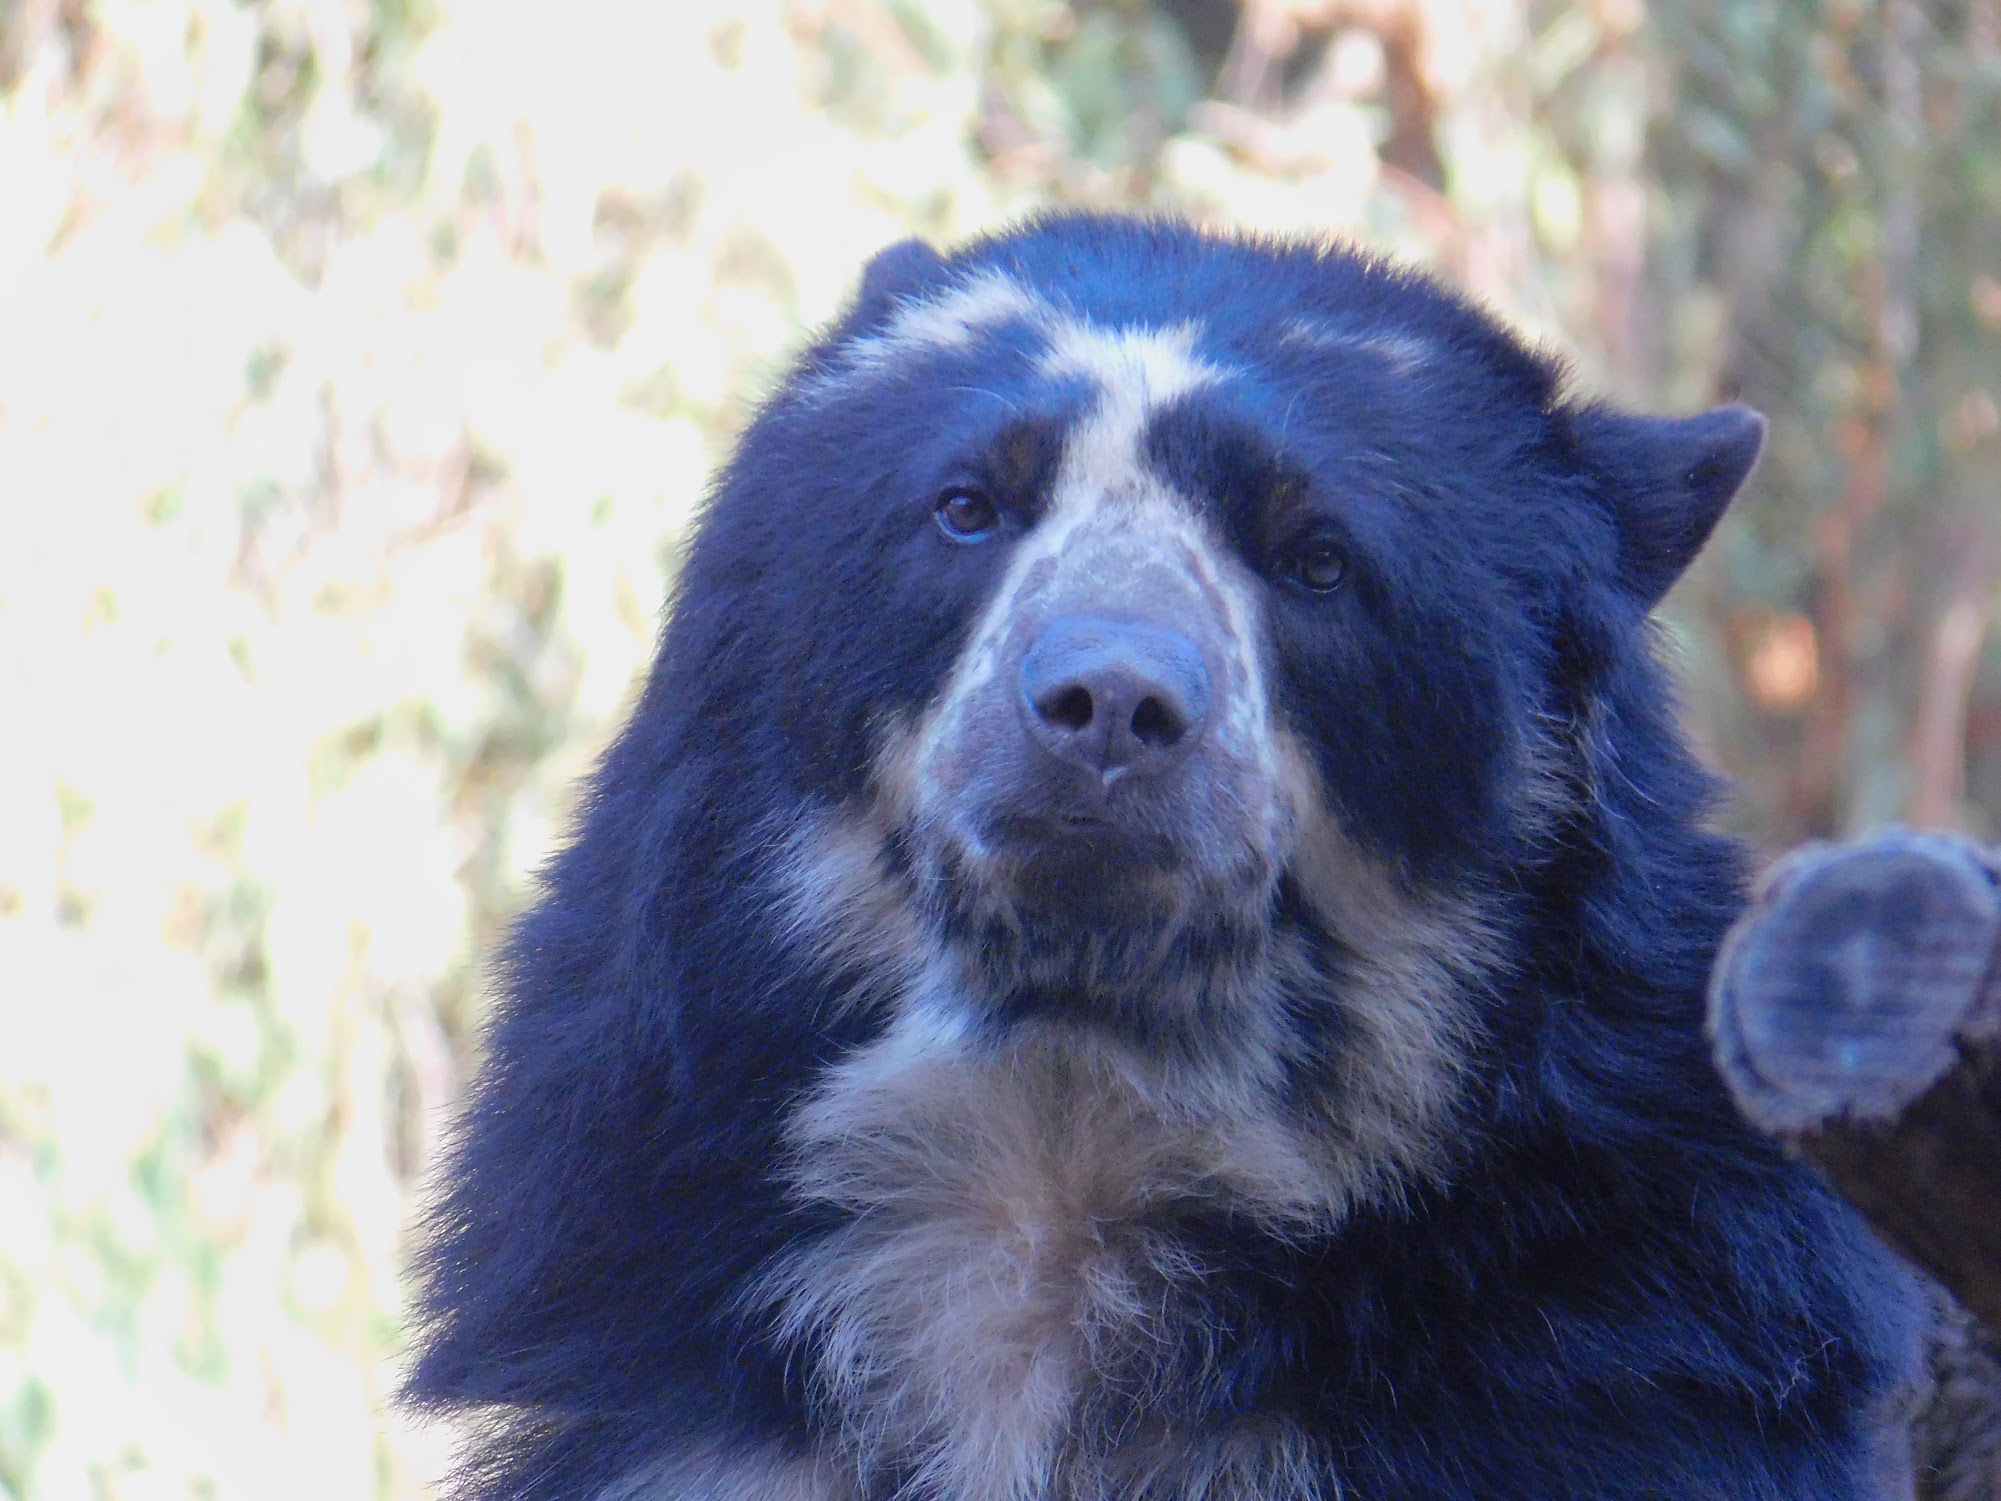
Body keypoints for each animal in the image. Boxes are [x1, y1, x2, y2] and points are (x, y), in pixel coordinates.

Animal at [405, 214, 1928, 1500]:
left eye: (1318, 560)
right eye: (967, 506)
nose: (1108, 705)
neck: (1063, 1133)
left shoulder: (1617, 1353)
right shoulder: (686, 1375)